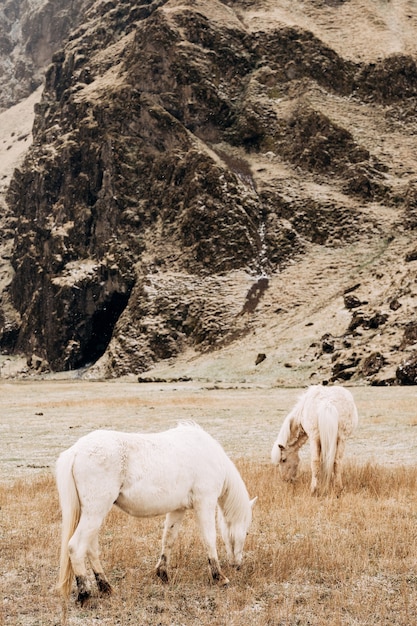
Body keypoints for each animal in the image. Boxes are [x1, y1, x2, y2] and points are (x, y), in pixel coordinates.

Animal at [54, 422, 256, 604]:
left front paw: (162, 573)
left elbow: (168, 539)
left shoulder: (178, 509)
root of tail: (76, 451)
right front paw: (219, 576)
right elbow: (209, 539)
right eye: (246, 532)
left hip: (93, 514)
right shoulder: (205, 503)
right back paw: (85, 594)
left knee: (90, 548)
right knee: (76, 547)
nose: (237, 565)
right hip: (95, 513)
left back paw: (106, 587)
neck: (207, 454)